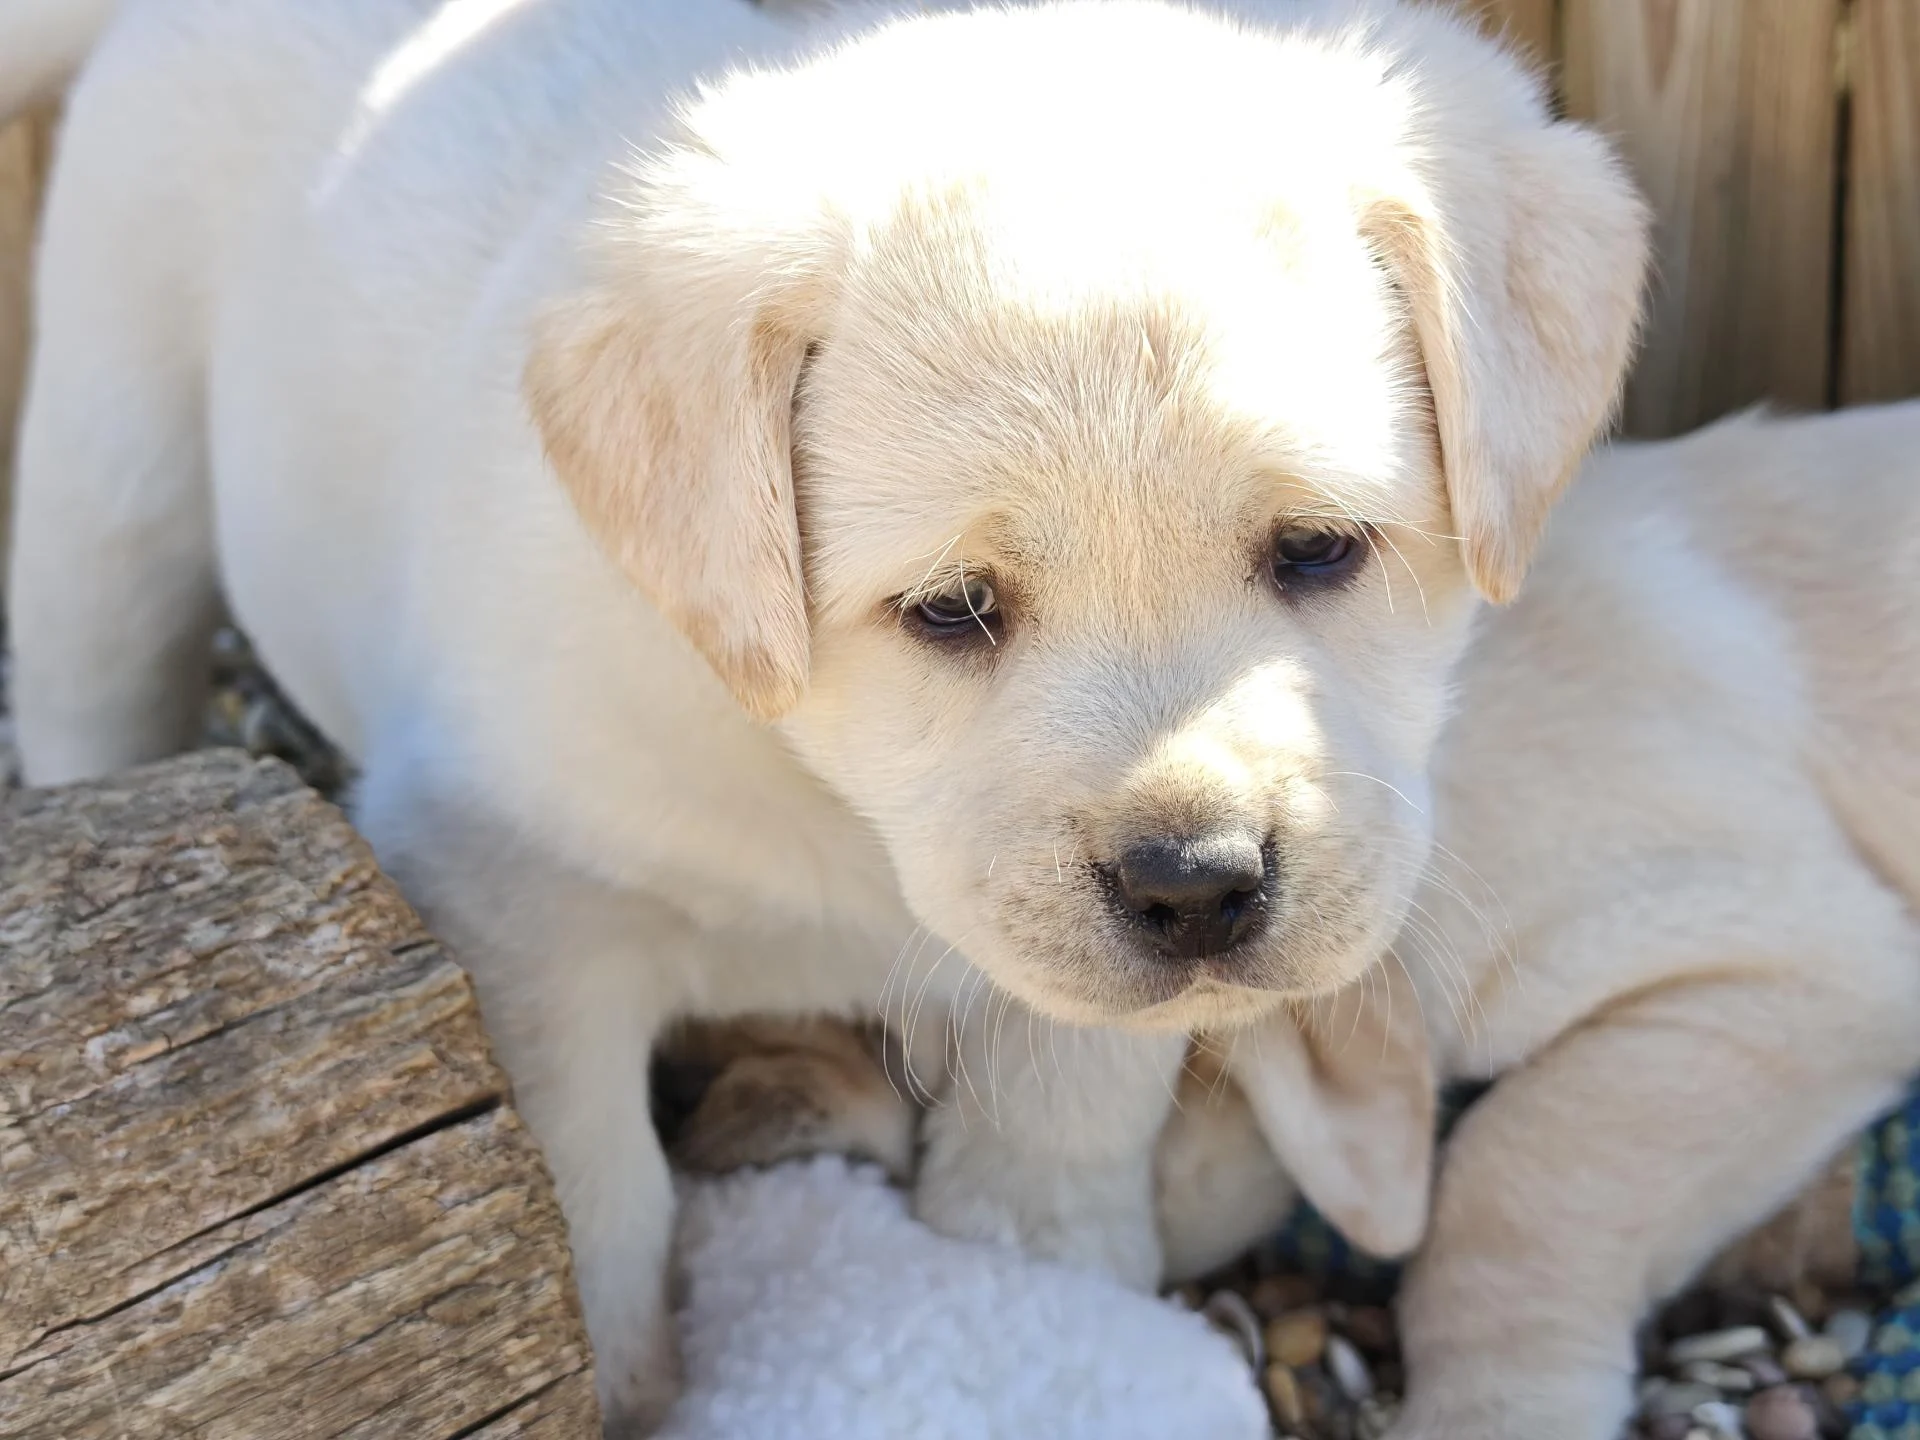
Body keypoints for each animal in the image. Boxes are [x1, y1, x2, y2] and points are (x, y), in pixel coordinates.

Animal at [4, 0, 1645, 1428]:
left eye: (1318, 550)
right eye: (953, 608)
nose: (1198, 886)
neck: (827, 803)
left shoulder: (1059, 1002)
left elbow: (1055, 1130)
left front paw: (1050, 1283)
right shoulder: (515, 908)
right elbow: (590, 1195)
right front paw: (622, 1386)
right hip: (113, 463)